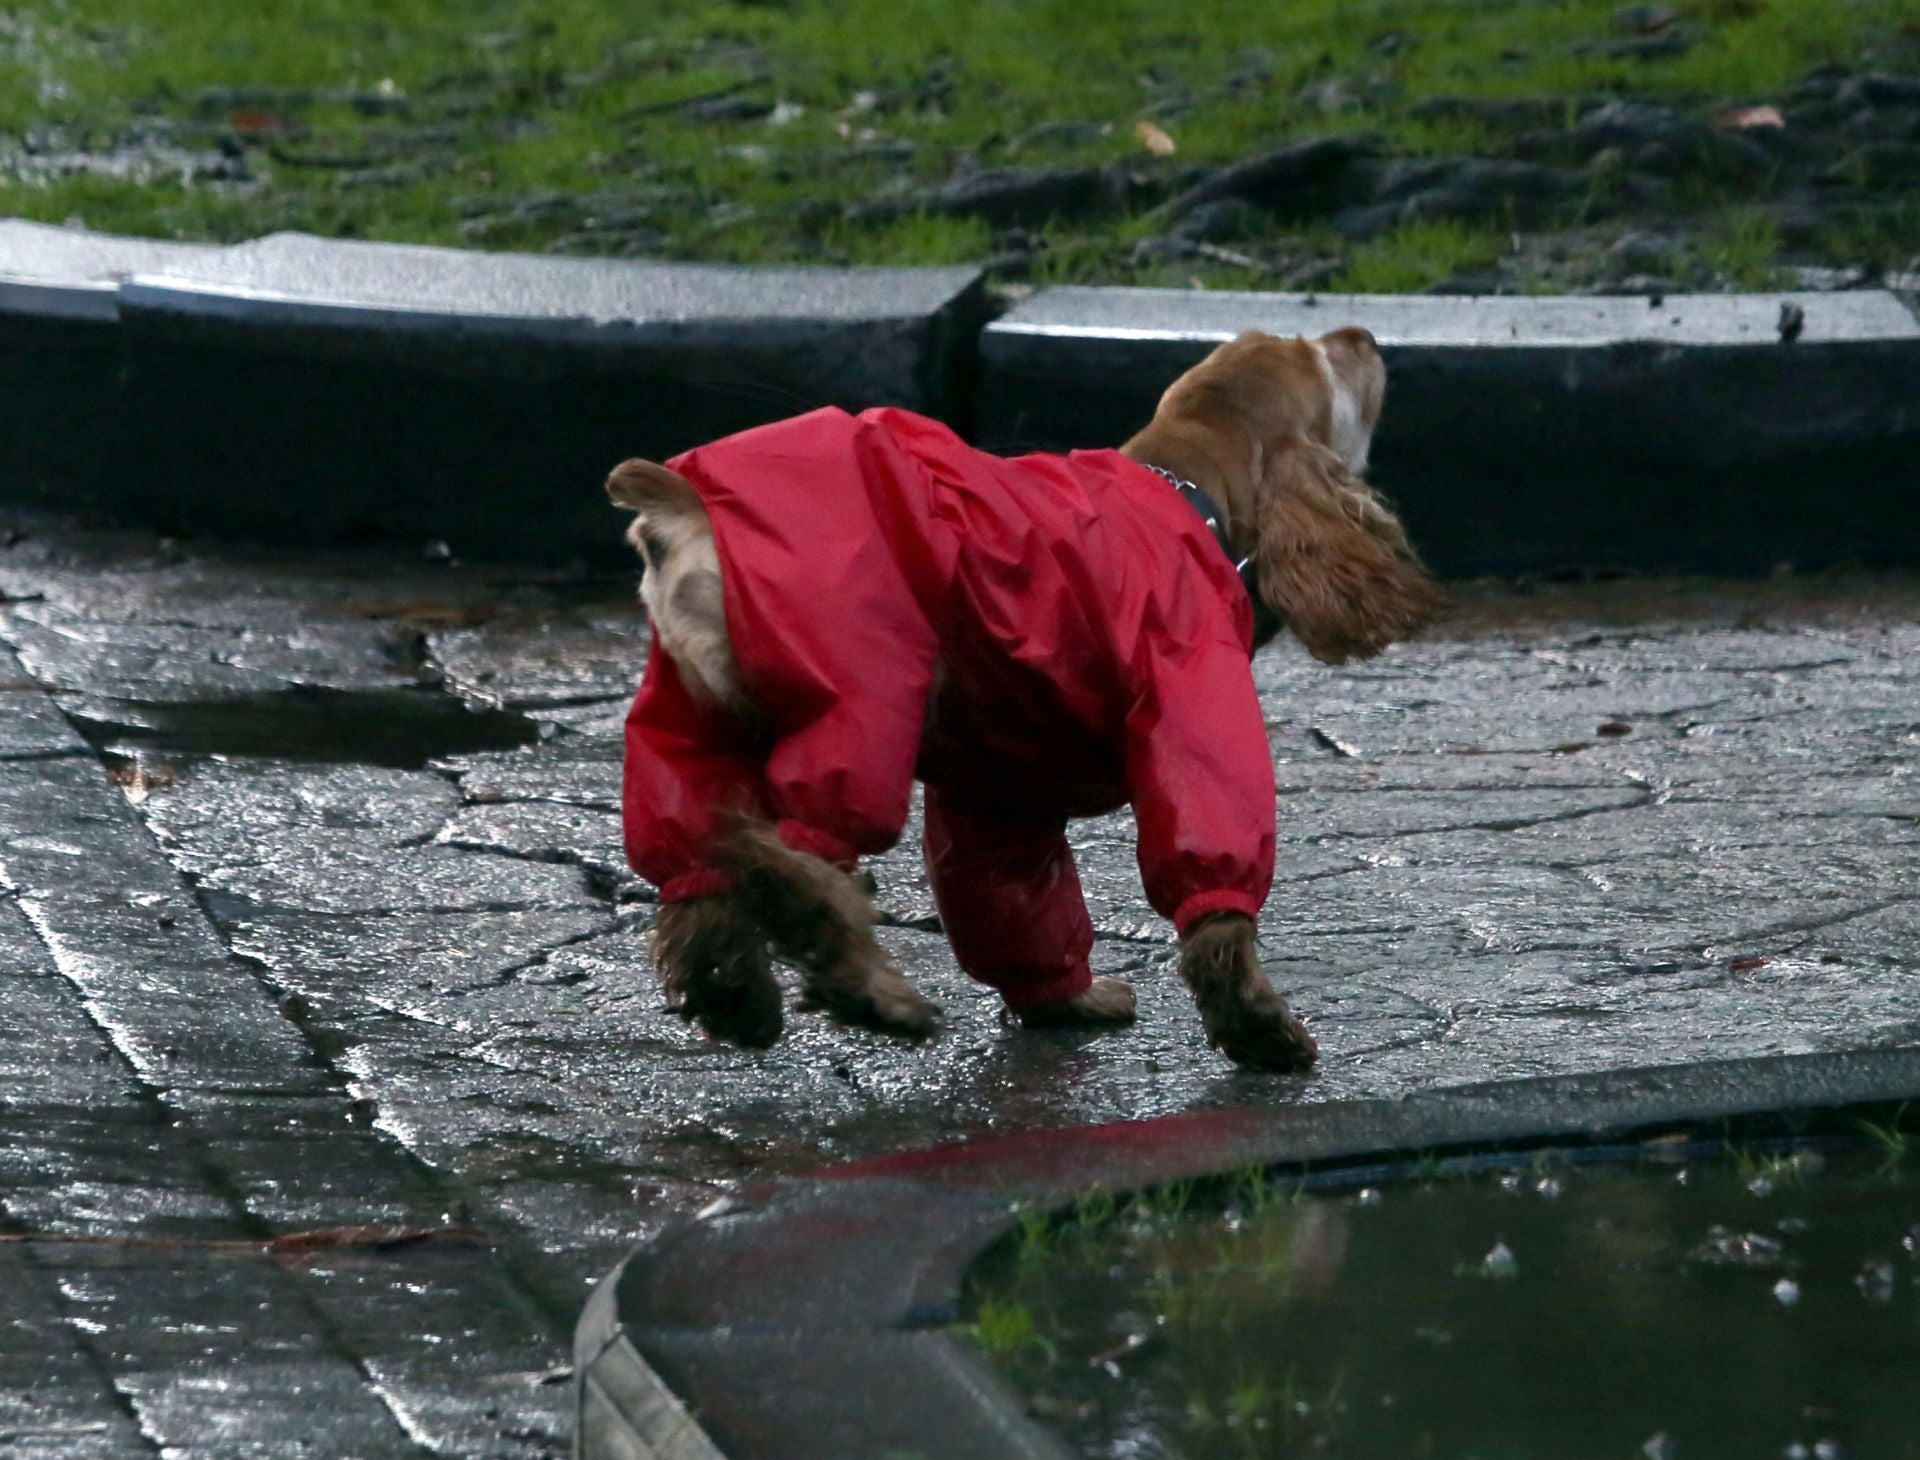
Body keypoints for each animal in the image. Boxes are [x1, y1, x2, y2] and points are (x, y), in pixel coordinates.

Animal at [606, 330, 1436, 1075]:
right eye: (1324, 363)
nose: (1363, 334)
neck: (1186, 489)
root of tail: (689, 506)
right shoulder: (1191, 693)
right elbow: (1214, 877)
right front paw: (1257, 1027)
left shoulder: (1000, 786)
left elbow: (1012, 896)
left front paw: (1066, 1000)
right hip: (855, 704)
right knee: (792, 864)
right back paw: (874, 994)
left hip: (689, 721)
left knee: (698, 875)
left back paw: (734, 996)